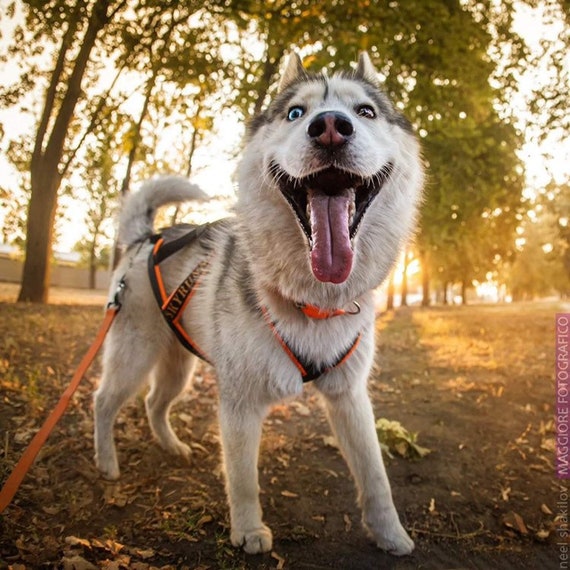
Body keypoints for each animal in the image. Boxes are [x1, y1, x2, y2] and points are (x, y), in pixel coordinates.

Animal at [93, 51, 422, 552]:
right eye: (295, 112)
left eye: (366, 111)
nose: (330, 126)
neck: (312, 301)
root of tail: (145, 239)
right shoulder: (240, 403)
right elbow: (243, 477)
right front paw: (248, 531)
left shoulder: (350, 396)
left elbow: (375, 473)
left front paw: (390, 533)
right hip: (134, 355)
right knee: (103, 401)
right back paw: (107, 462)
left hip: (178, 367)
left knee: (154, 403)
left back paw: (172, 446)